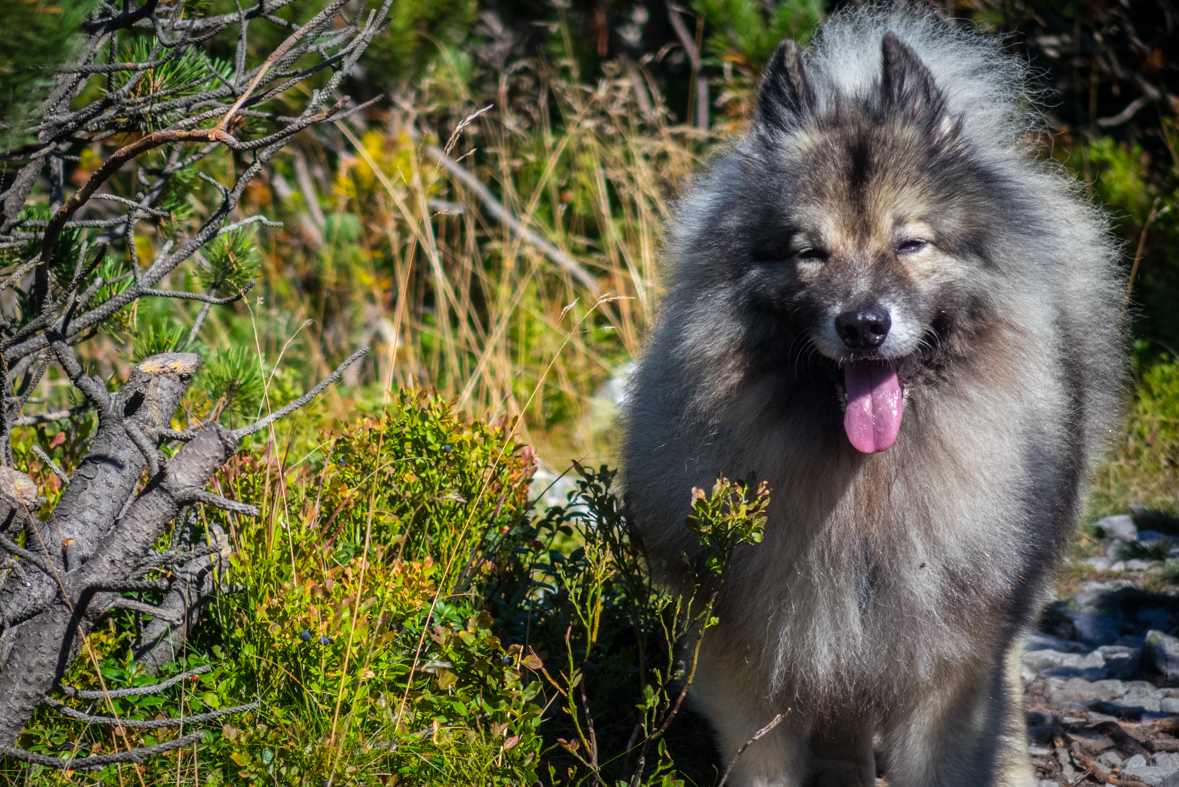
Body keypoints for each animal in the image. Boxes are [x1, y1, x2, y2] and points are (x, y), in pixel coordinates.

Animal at [622, 7, 1127, 787]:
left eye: (910, 244)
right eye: (809, 252)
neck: (866, 485)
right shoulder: (753, 654)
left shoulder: (950, 662)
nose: (863, 325)